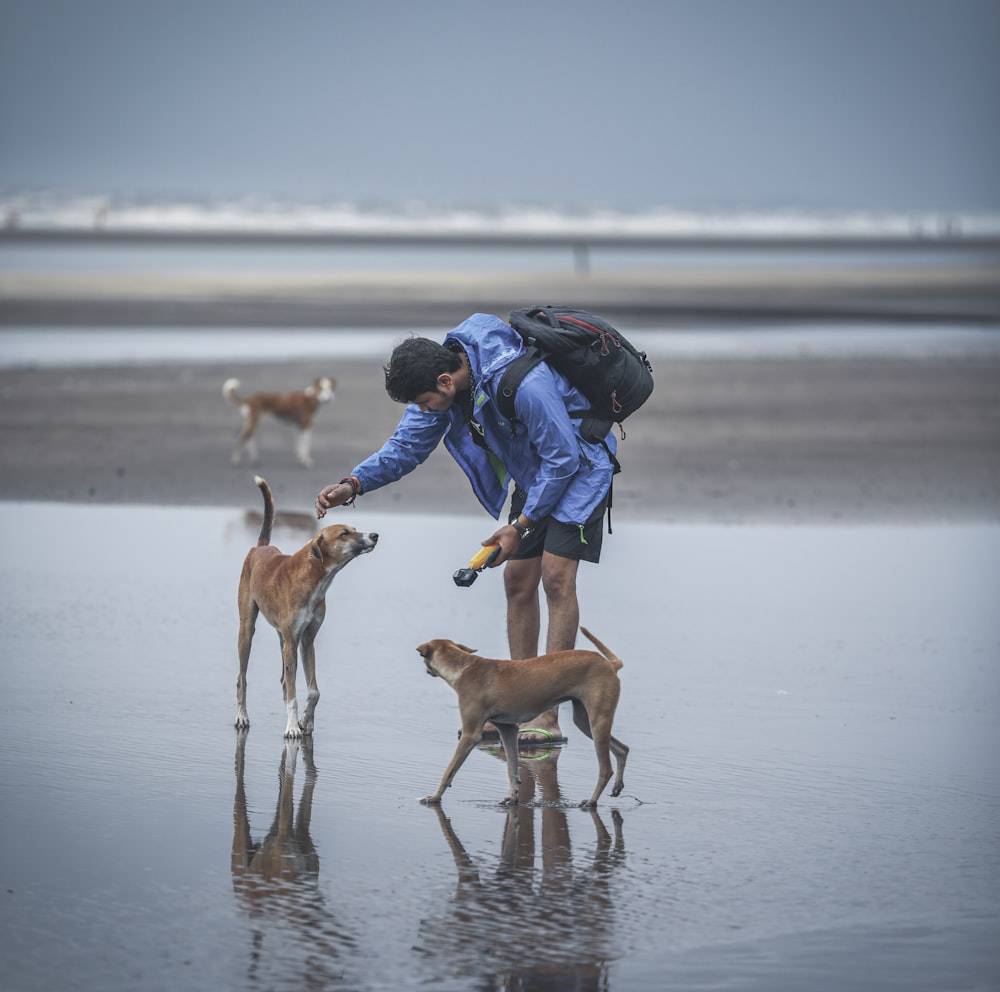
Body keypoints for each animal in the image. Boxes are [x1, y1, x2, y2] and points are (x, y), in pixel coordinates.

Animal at [235, 472, 378, 736]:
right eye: (344, 533)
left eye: (354, 529)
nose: (374, 535)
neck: (315, 577)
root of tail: (260, 547)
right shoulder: (293, 641)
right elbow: (294, 693)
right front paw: (293, 727)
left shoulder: (307, 640)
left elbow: (313, 691)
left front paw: (305, 721)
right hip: (247, 630)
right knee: (242, 678)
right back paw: (242, 716)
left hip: (282, 638)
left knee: (284, 680)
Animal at [418, 628, 628, 808]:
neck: (463, 666)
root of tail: (610, 665)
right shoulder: (508, 730)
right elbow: (513, 769)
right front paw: (512, 797)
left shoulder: (470, 734)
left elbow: (449, 770)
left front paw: (434, 797)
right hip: (585, 723)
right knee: (623, 749)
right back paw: (617, 786)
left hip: (597, 722)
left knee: (605, 769)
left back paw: (592, 801)